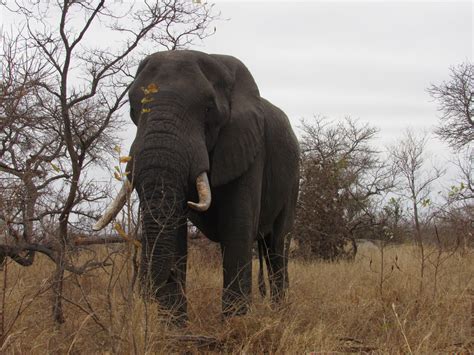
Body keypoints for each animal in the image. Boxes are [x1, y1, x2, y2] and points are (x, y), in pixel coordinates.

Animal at [94, 49, 298, 320]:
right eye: (132, 109)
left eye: (208, 109)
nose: (146, 291)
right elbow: (176, 231)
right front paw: (173, 327)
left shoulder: (249, 146)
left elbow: (237, 227)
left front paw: (236, 325)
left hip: (293, 178)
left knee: (277, 246)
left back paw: (280, 313)